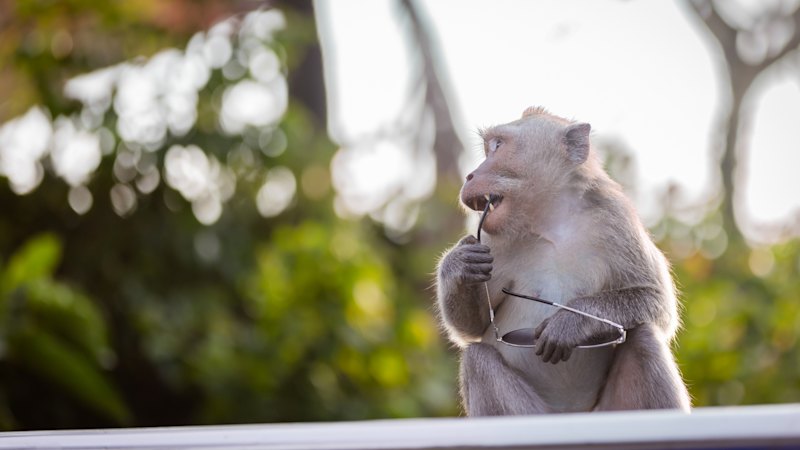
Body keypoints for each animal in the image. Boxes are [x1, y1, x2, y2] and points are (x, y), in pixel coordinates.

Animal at [435, 107, 691, 416]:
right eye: (489, 147)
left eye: (497, 146)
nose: (470, 175)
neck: (551, 220)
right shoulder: (493, 241)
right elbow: (473, 327)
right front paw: (459, 265)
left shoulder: (616, 218)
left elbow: (656, 301)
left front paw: (571, 322)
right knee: (477, 359)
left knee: (644, 336)